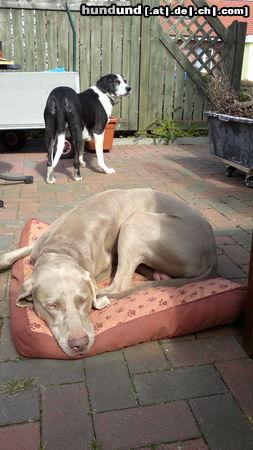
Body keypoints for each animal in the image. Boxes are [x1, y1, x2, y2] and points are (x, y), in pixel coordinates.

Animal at [0, 188, 217, 356]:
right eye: (52, 306)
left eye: (84, 300)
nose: (79, 344)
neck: (62, 248)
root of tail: (212, 252)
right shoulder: (37, 246)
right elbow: (11, 255)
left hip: (135, 223)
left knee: (119, 285)